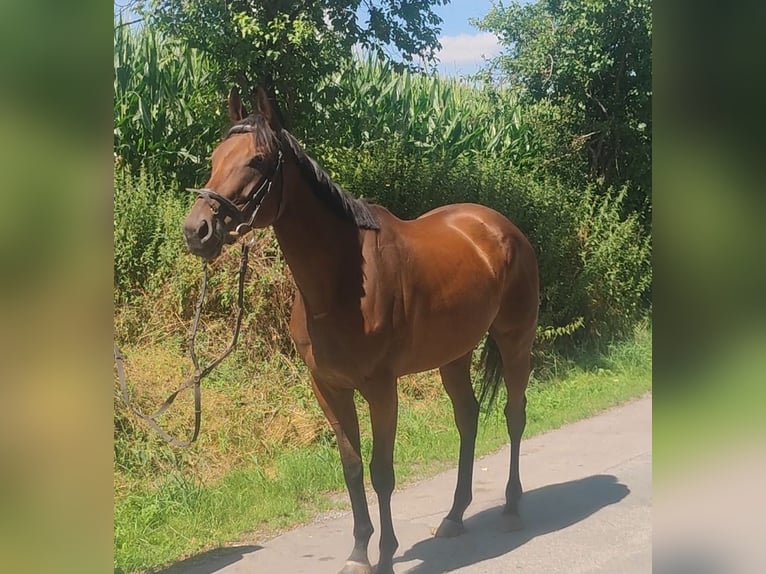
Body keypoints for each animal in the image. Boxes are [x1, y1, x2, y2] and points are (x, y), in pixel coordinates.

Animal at [183, 86, 539, 574]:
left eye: (257, 160)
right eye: (215, 157)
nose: (196, 230)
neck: (342, 284)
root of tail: (503, 227)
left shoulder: (380, 388)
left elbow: (381, 472)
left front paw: (385, 556)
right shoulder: (329, 387)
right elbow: (351, 467)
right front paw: (357, 552)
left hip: (515, 340)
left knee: (514, 415)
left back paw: (512, 509)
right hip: (454, 354)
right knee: (467, 418)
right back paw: (454, 515)